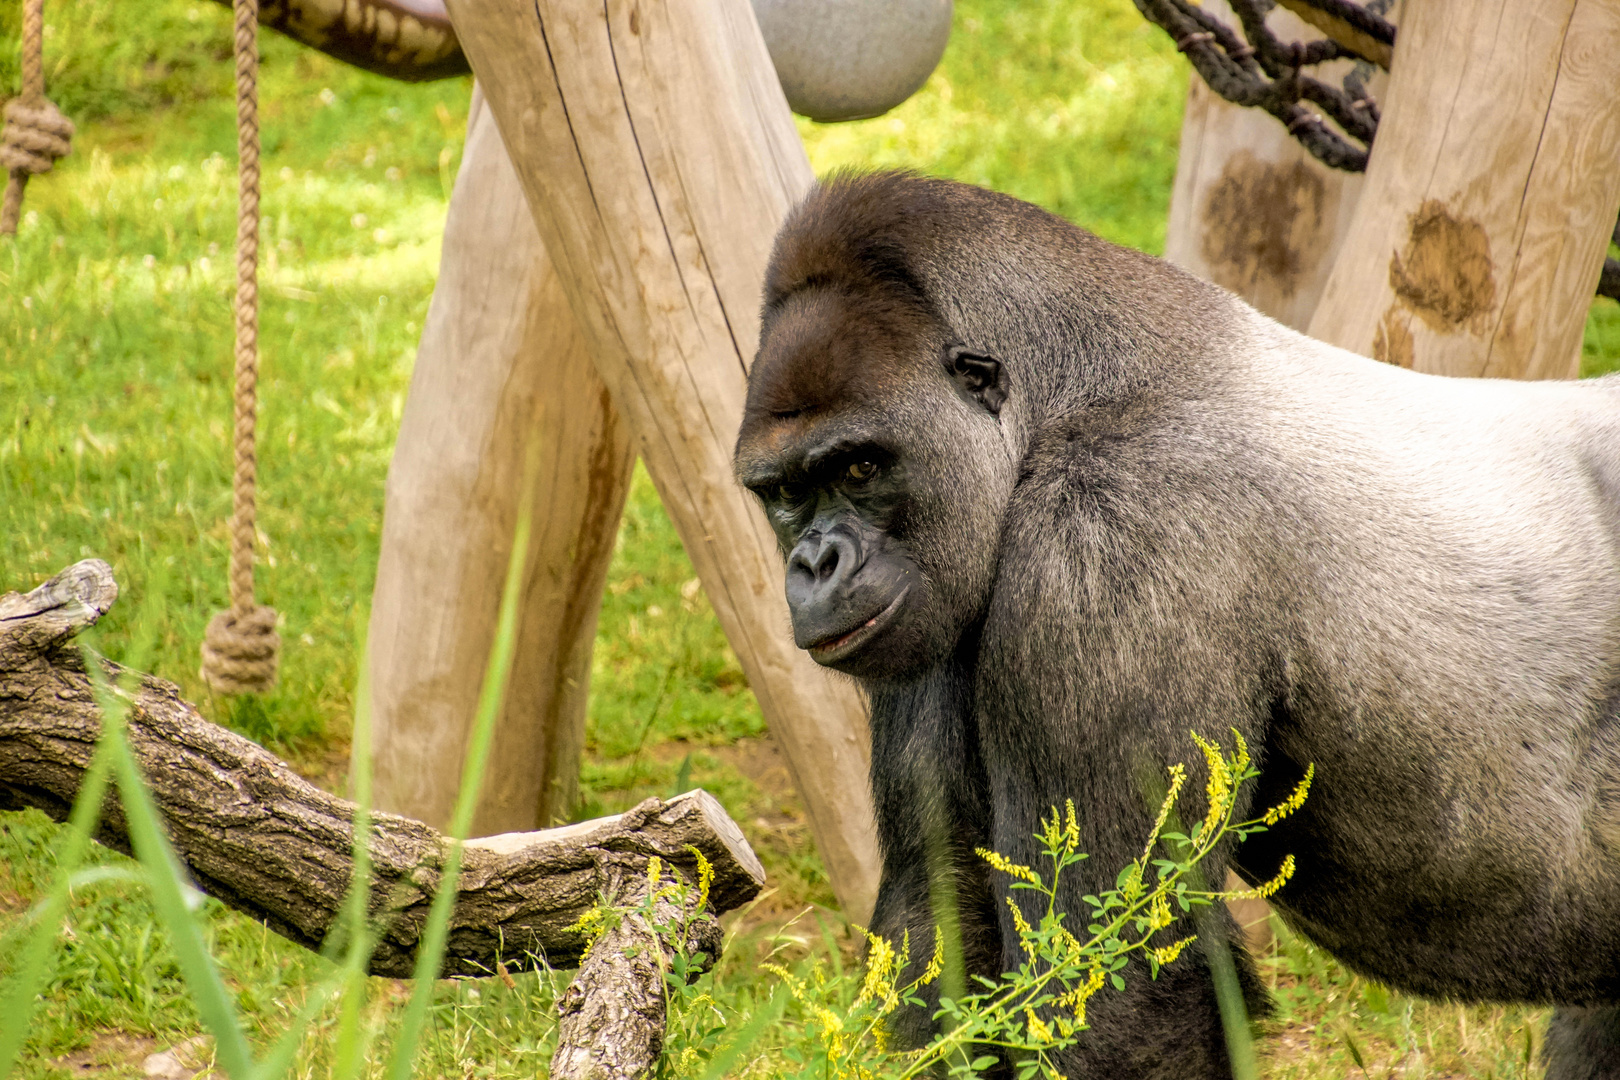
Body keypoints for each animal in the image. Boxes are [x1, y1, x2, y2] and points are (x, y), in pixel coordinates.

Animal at [732, 173, 1620, 1080]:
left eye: (860, 467)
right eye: (786, 492)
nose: (815, 564)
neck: (1068, 393)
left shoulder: (1110, 539)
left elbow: (1116, 997)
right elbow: (941, 923)